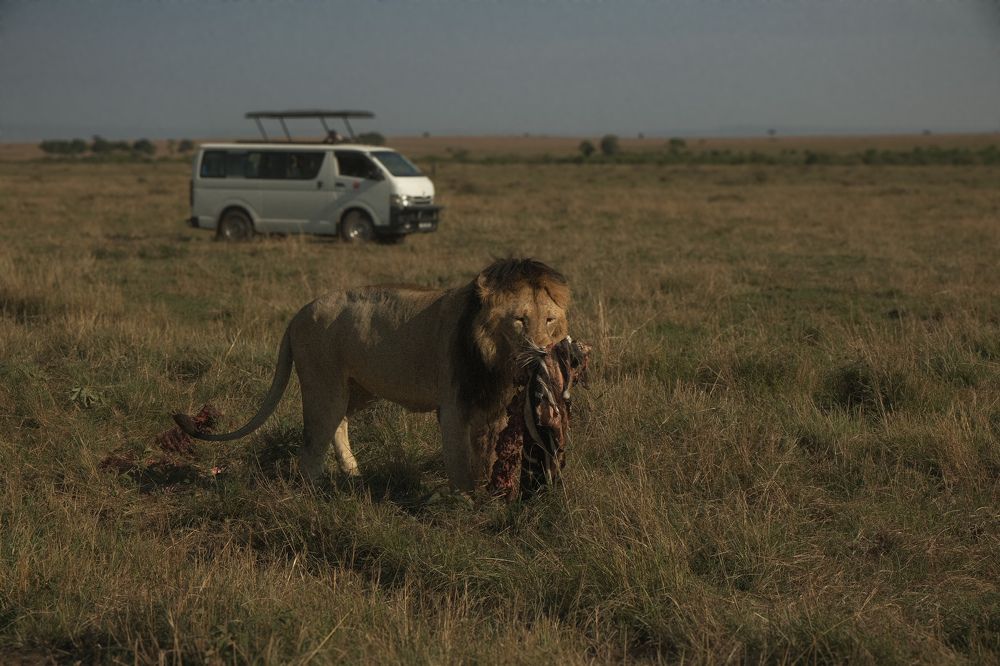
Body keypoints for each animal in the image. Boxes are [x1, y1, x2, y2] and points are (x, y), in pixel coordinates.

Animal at [173, 258, 571, 491]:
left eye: (550, 319)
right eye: (519, 320)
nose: (543, 353)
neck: (494, 357)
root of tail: (297, 314)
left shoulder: (493, 403)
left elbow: (486, 453)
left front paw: (489, 492)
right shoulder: (455, 404)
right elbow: (460, 458)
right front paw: (465, 504)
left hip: (358, 389)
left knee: (339, 424)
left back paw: (352, 473)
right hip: (324, 384)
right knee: (313, 442)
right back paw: (313, 494)